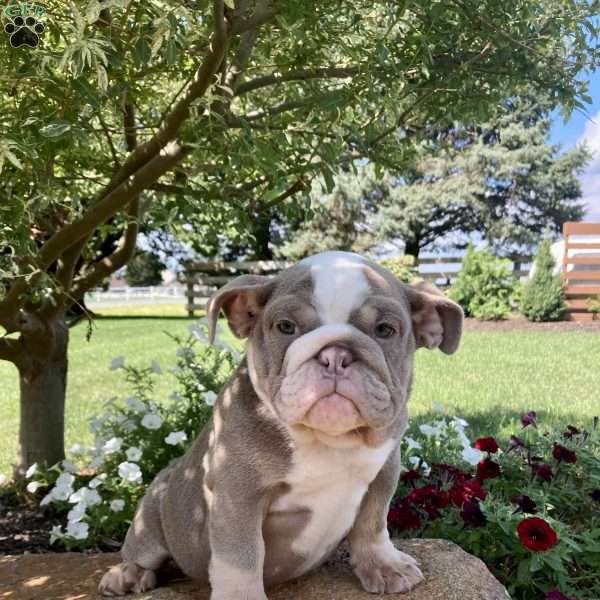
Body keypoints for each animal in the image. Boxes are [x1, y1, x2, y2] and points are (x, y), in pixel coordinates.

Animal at [99, 251, 464, 596]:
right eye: (286, 327)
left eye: (385, 330)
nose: (335, 354)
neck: (327, 441)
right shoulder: (237, 496)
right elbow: (241, 557)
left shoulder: (384, 470)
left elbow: (373, 523)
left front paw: (385, 566)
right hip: (153, 514)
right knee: (141, 550)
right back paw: (127, 574)